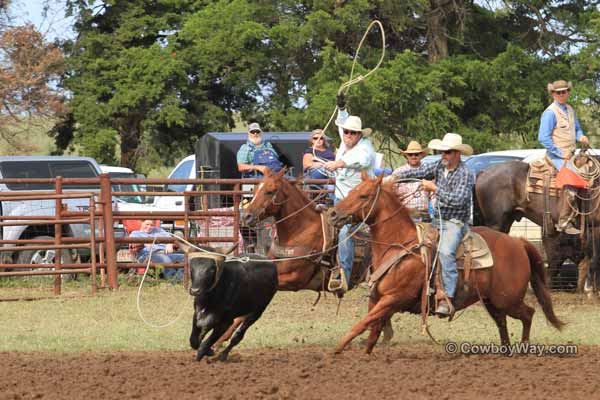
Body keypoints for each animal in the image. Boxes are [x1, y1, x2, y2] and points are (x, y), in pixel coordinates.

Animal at [326, 171, 564, 354]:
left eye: (363, 195)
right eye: (351, 191)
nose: (333, 213)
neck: (399, 245)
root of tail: (517, 242)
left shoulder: (393, 298)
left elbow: (361, 325)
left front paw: (335, 351)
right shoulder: (377, 299)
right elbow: (372, 332)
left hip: (508, 299)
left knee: (528, 314)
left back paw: (523, 349)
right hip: (493, 301)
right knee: (503, 322)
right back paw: (505, 351)